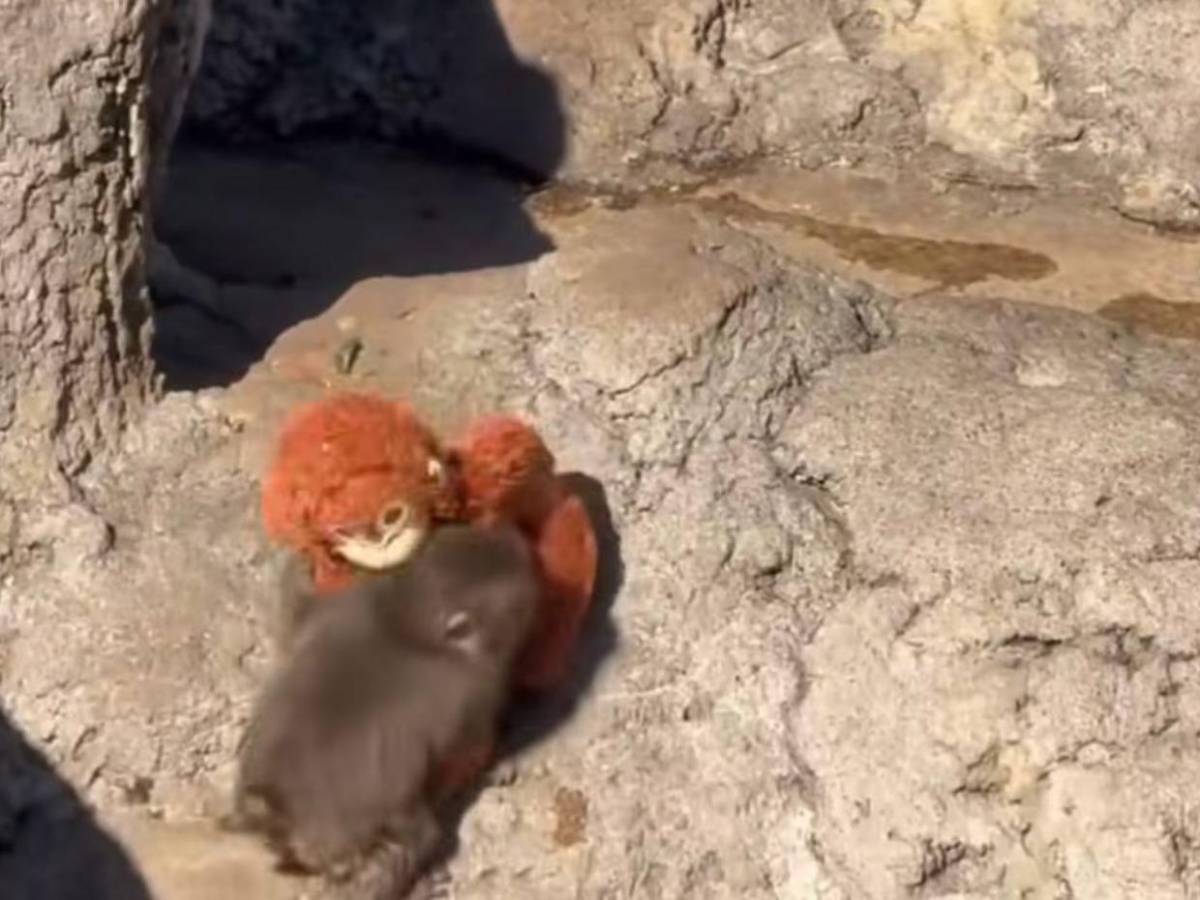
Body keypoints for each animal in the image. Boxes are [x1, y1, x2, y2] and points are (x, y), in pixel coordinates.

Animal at [229, 524, 540, 899]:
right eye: (520, 585)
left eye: (460, 532)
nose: (517, 539)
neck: (403, 619)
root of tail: (277, 808)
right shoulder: (468, 694)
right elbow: (471, 748)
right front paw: (499, 762)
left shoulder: (345, 603)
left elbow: (294, 615)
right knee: (413, 839)